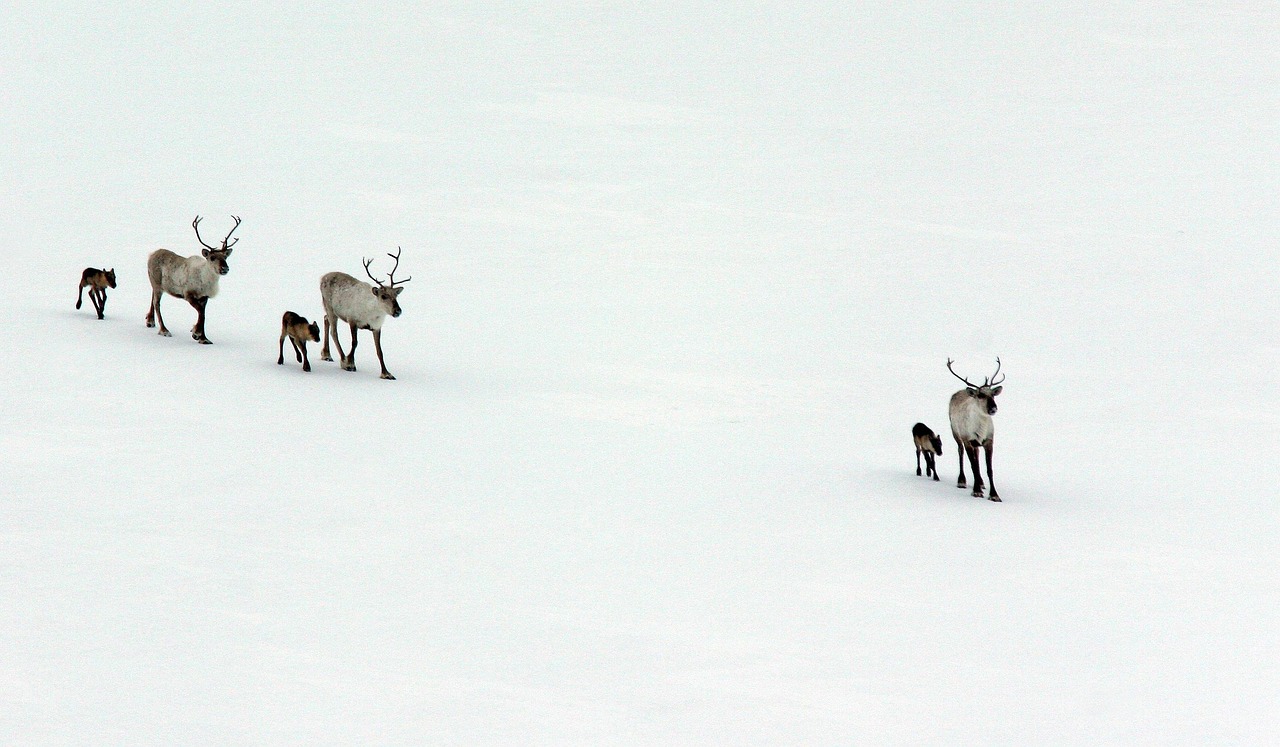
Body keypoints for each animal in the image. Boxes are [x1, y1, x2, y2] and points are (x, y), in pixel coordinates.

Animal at [147, 216, 241, 345]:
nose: (225, 269)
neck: (205, 280)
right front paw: (197, 334)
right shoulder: (188, 295)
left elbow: (203, 313)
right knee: (157, 303)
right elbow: (201, 313)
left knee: (152, 297)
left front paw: (201, 336)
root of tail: (151, 255)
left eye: (225, 257)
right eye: (212, 257)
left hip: (157, 284)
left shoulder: (204, 297)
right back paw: (164, 330)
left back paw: (150, 321)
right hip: (157, 284)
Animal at [320, 249, 409, 381]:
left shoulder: (376, 327)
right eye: (383, 296)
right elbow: (354, 342)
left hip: (330, 310)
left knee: (325, 319)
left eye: (396, 296)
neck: (372, 313)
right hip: (329, 306)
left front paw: (386, 373)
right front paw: (349, 363)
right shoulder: (352, 320)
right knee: (334, 332)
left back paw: (326, 354)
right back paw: (340, 358)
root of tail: (323, 276)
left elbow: (380, 351)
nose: (398, 311)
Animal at [947, 358, 1003, 501]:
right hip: (955, 433)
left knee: (977, 456)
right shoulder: (968, 440)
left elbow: (989, 469)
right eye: (980, 395)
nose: (993, 408)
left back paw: (981, 483)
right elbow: (973, 466)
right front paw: (976, 491)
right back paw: (962, 481)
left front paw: (994, 495)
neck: (981, 428)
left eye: (993, 395)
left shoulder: (989, 441)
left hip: (976, 444)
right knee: (960, 452)